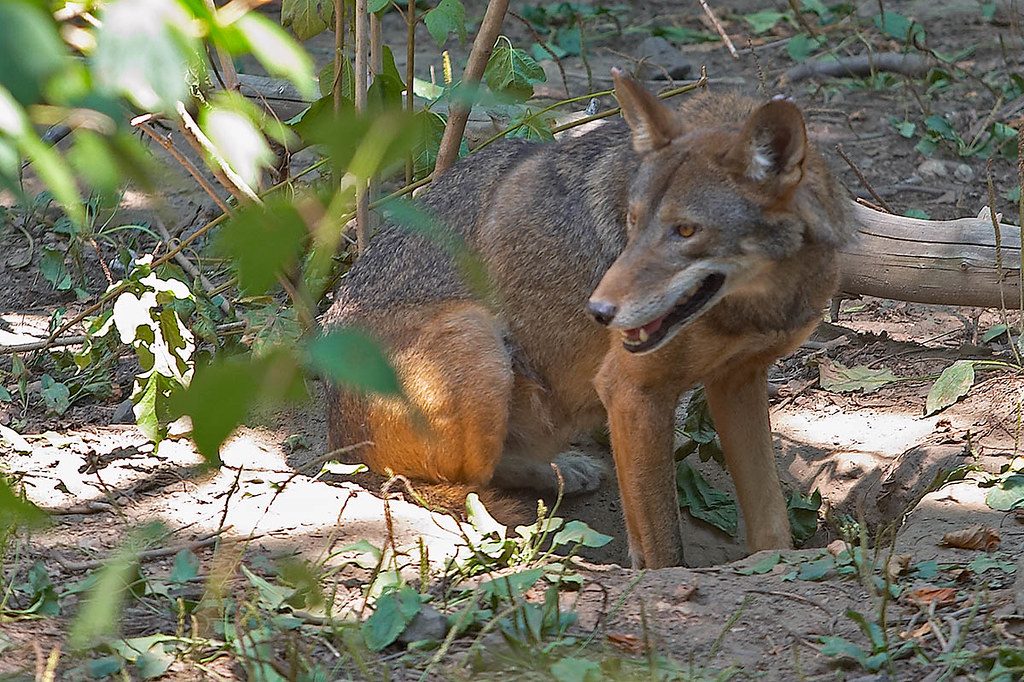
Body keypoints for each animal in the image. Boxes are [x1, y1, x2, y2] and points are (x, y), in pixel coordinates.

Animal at [321, 71, 855, 568]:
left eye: (685, 231)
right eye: (632, 222)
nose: (598, 311)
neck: (757, 305)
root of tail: (337, 439)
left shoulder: (739, 380)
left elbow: (771, 523)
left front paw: (777, 563)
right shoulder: (632, 392)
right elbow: (662, 548)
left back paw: (561, 471)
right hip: (478, 340)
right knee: (456, 487)